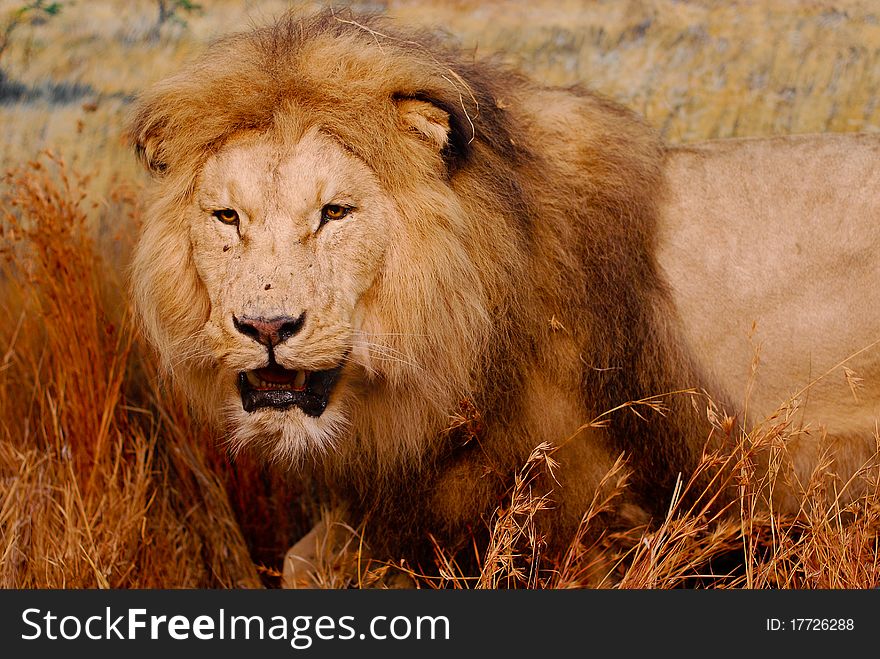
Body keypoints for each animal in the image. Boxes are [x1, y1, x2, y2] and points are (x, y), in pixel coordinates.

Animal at [127, 10, 880, 584]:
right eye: (227, 217)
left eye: (335, 213)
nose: (267, 326)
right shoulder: (404, 503)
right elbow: (299, 561)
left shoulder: (584, 505)